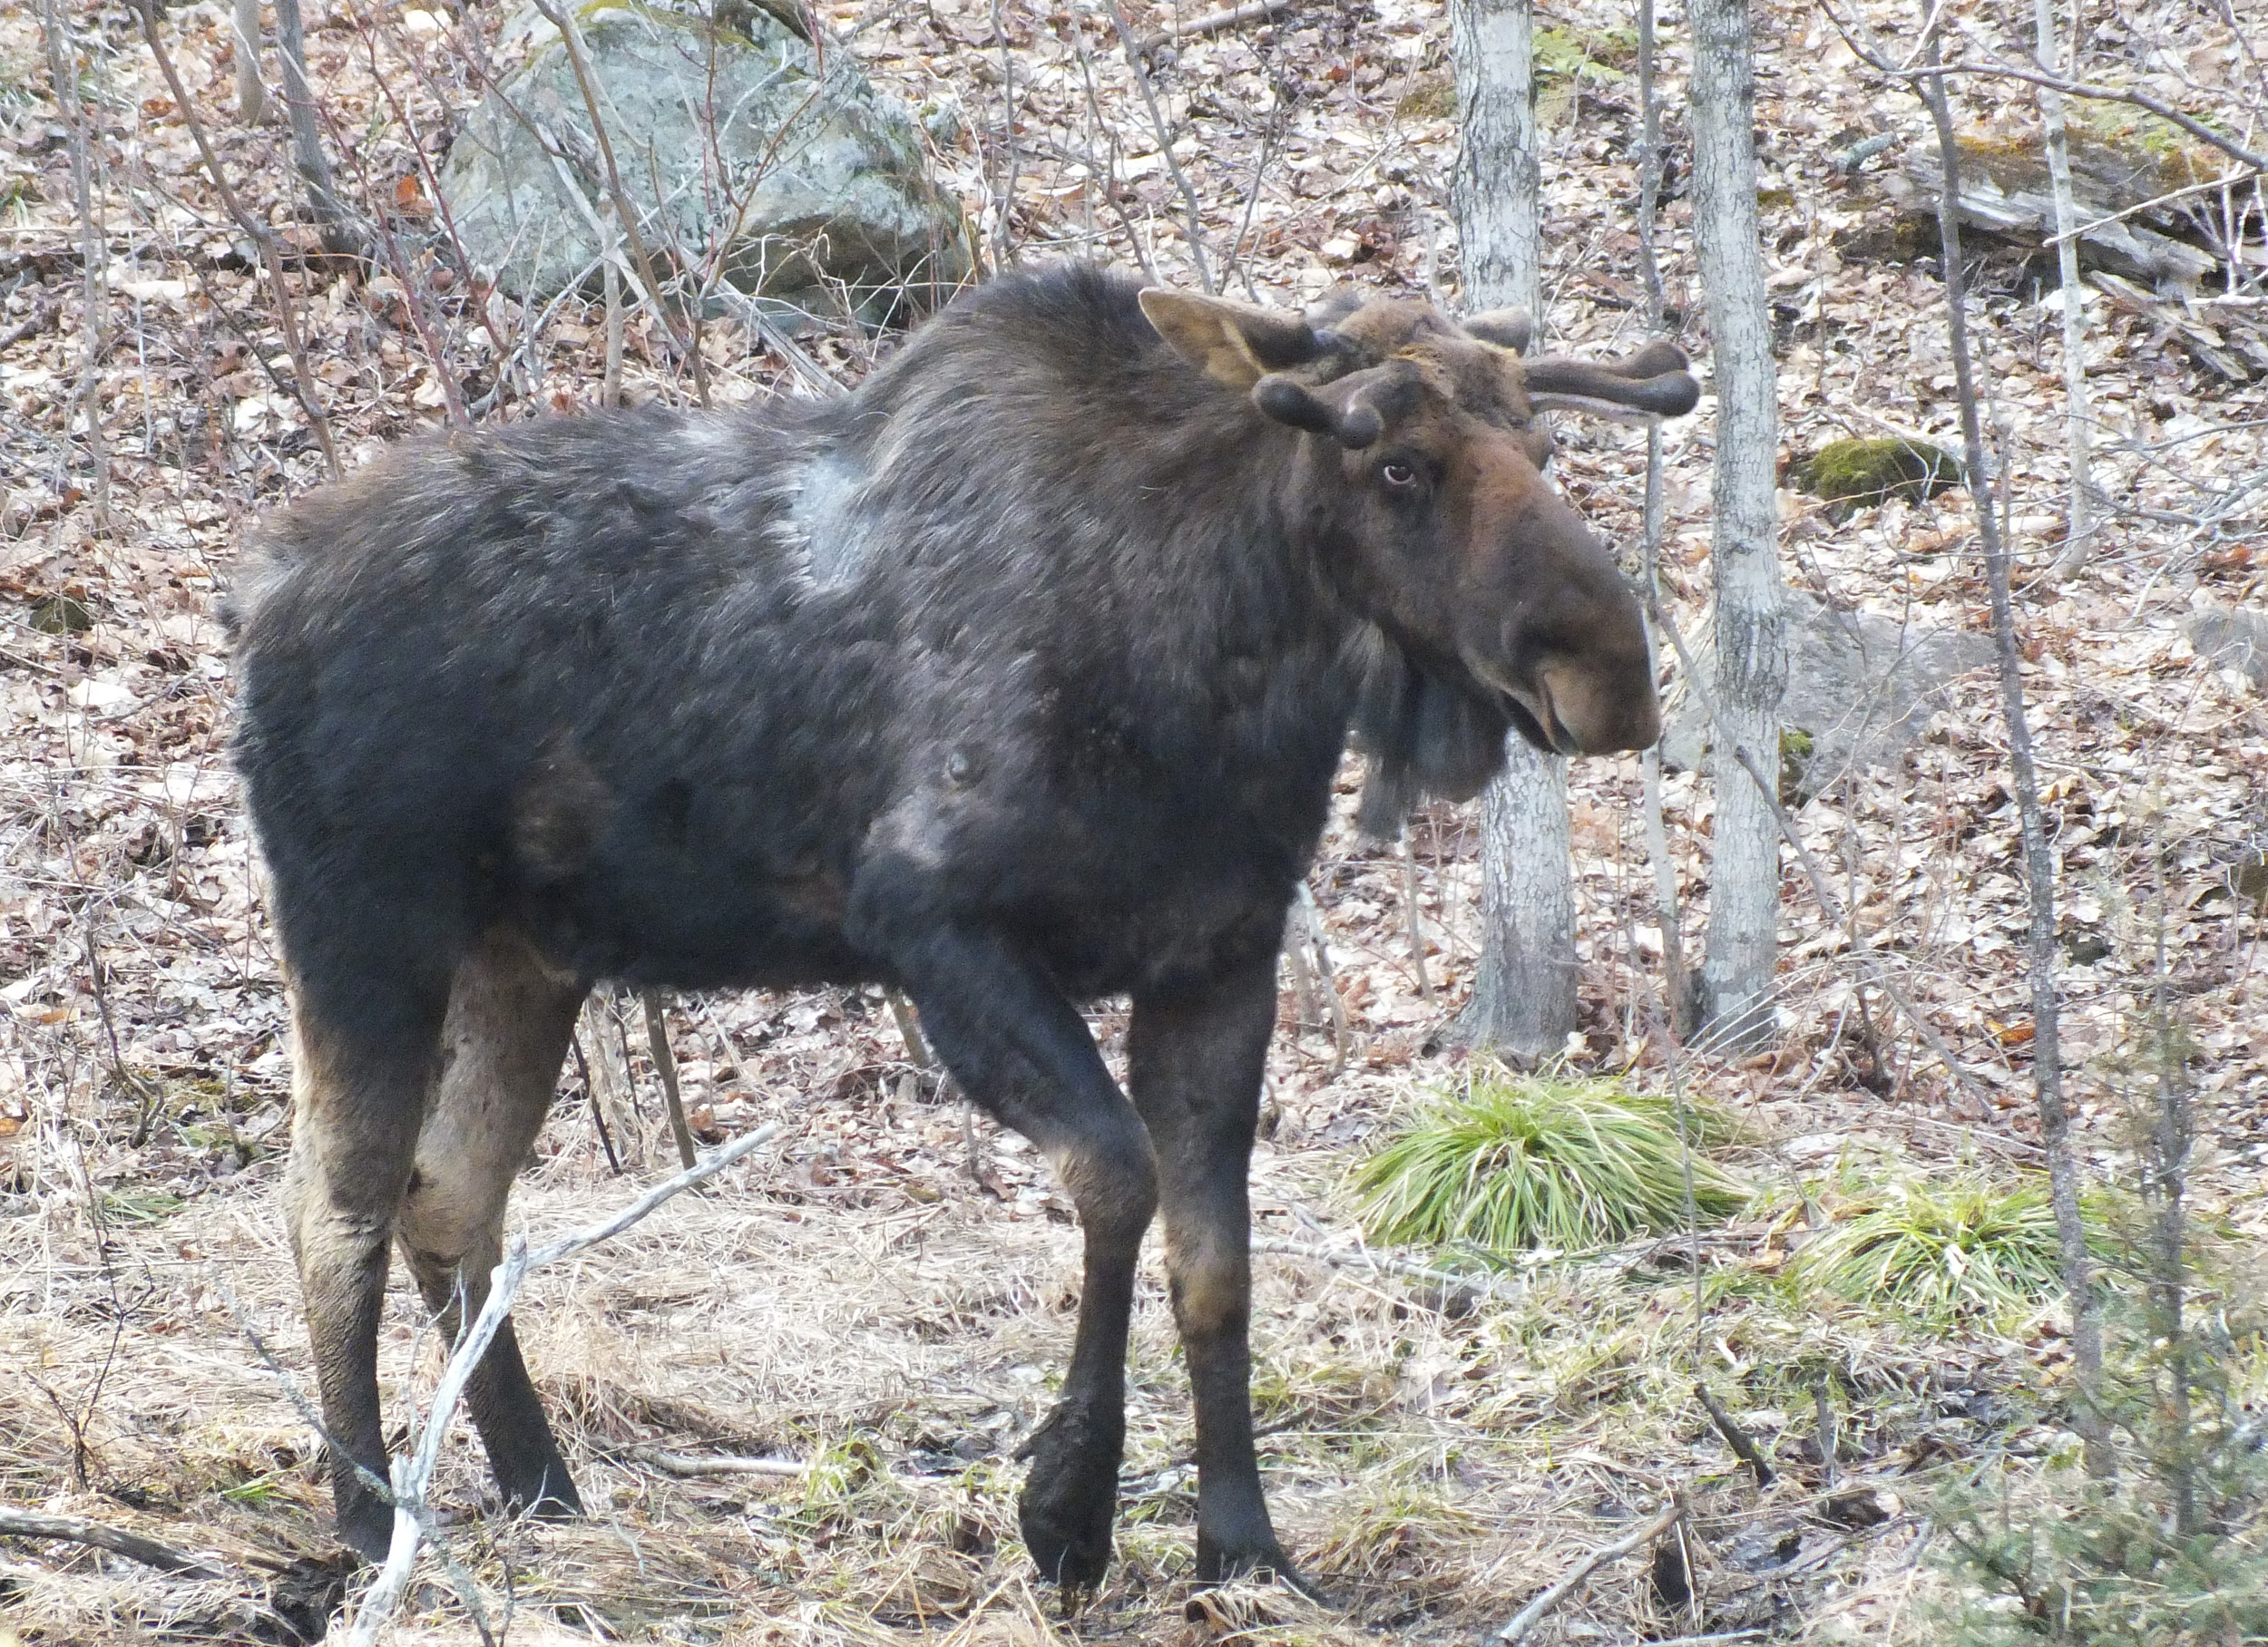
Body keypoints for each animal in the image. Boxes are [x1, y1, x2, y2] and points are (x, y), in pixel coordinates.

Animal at [230, 264, 1696, 1596]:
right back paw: (367, 1518)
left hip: (525, 957)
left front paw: (1241, 1544)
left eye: (1544, 446)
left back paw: (542, 1487)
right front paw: (1067, 1508)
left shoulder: (1218, 959)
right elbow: (1117, 1176)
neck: (1221, 676)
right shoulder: (938, 934)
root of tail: (258, 596)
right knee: (335, 1203)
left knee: (450, 1193)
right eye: (1396, 466)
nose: (1610, 673)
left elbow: (1217, 1262)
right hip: (365, 927)